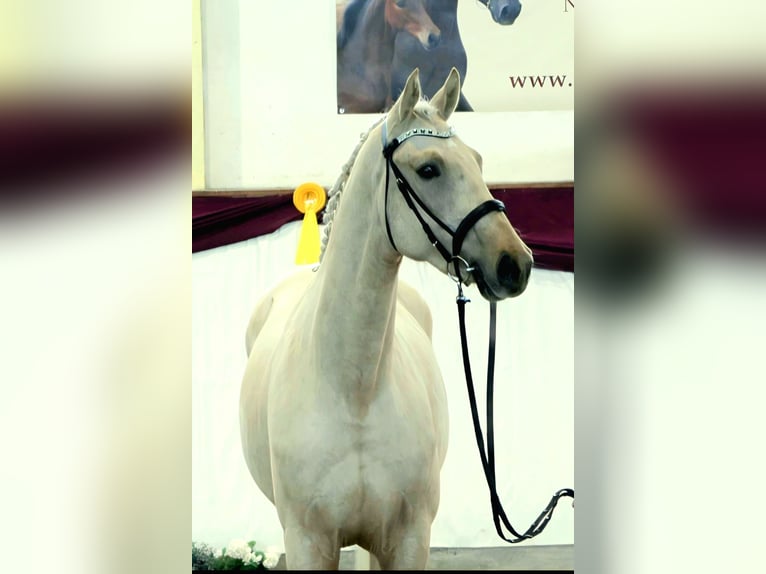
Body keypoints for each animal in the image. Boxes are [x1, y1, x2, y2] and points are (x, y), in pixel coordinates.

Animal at [240, 68, 533, 569]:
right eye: (429, 168)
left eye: (477, 160)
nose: (515, 263)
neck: (353, 391)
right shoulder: (307, 542)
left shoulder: (409, 539)